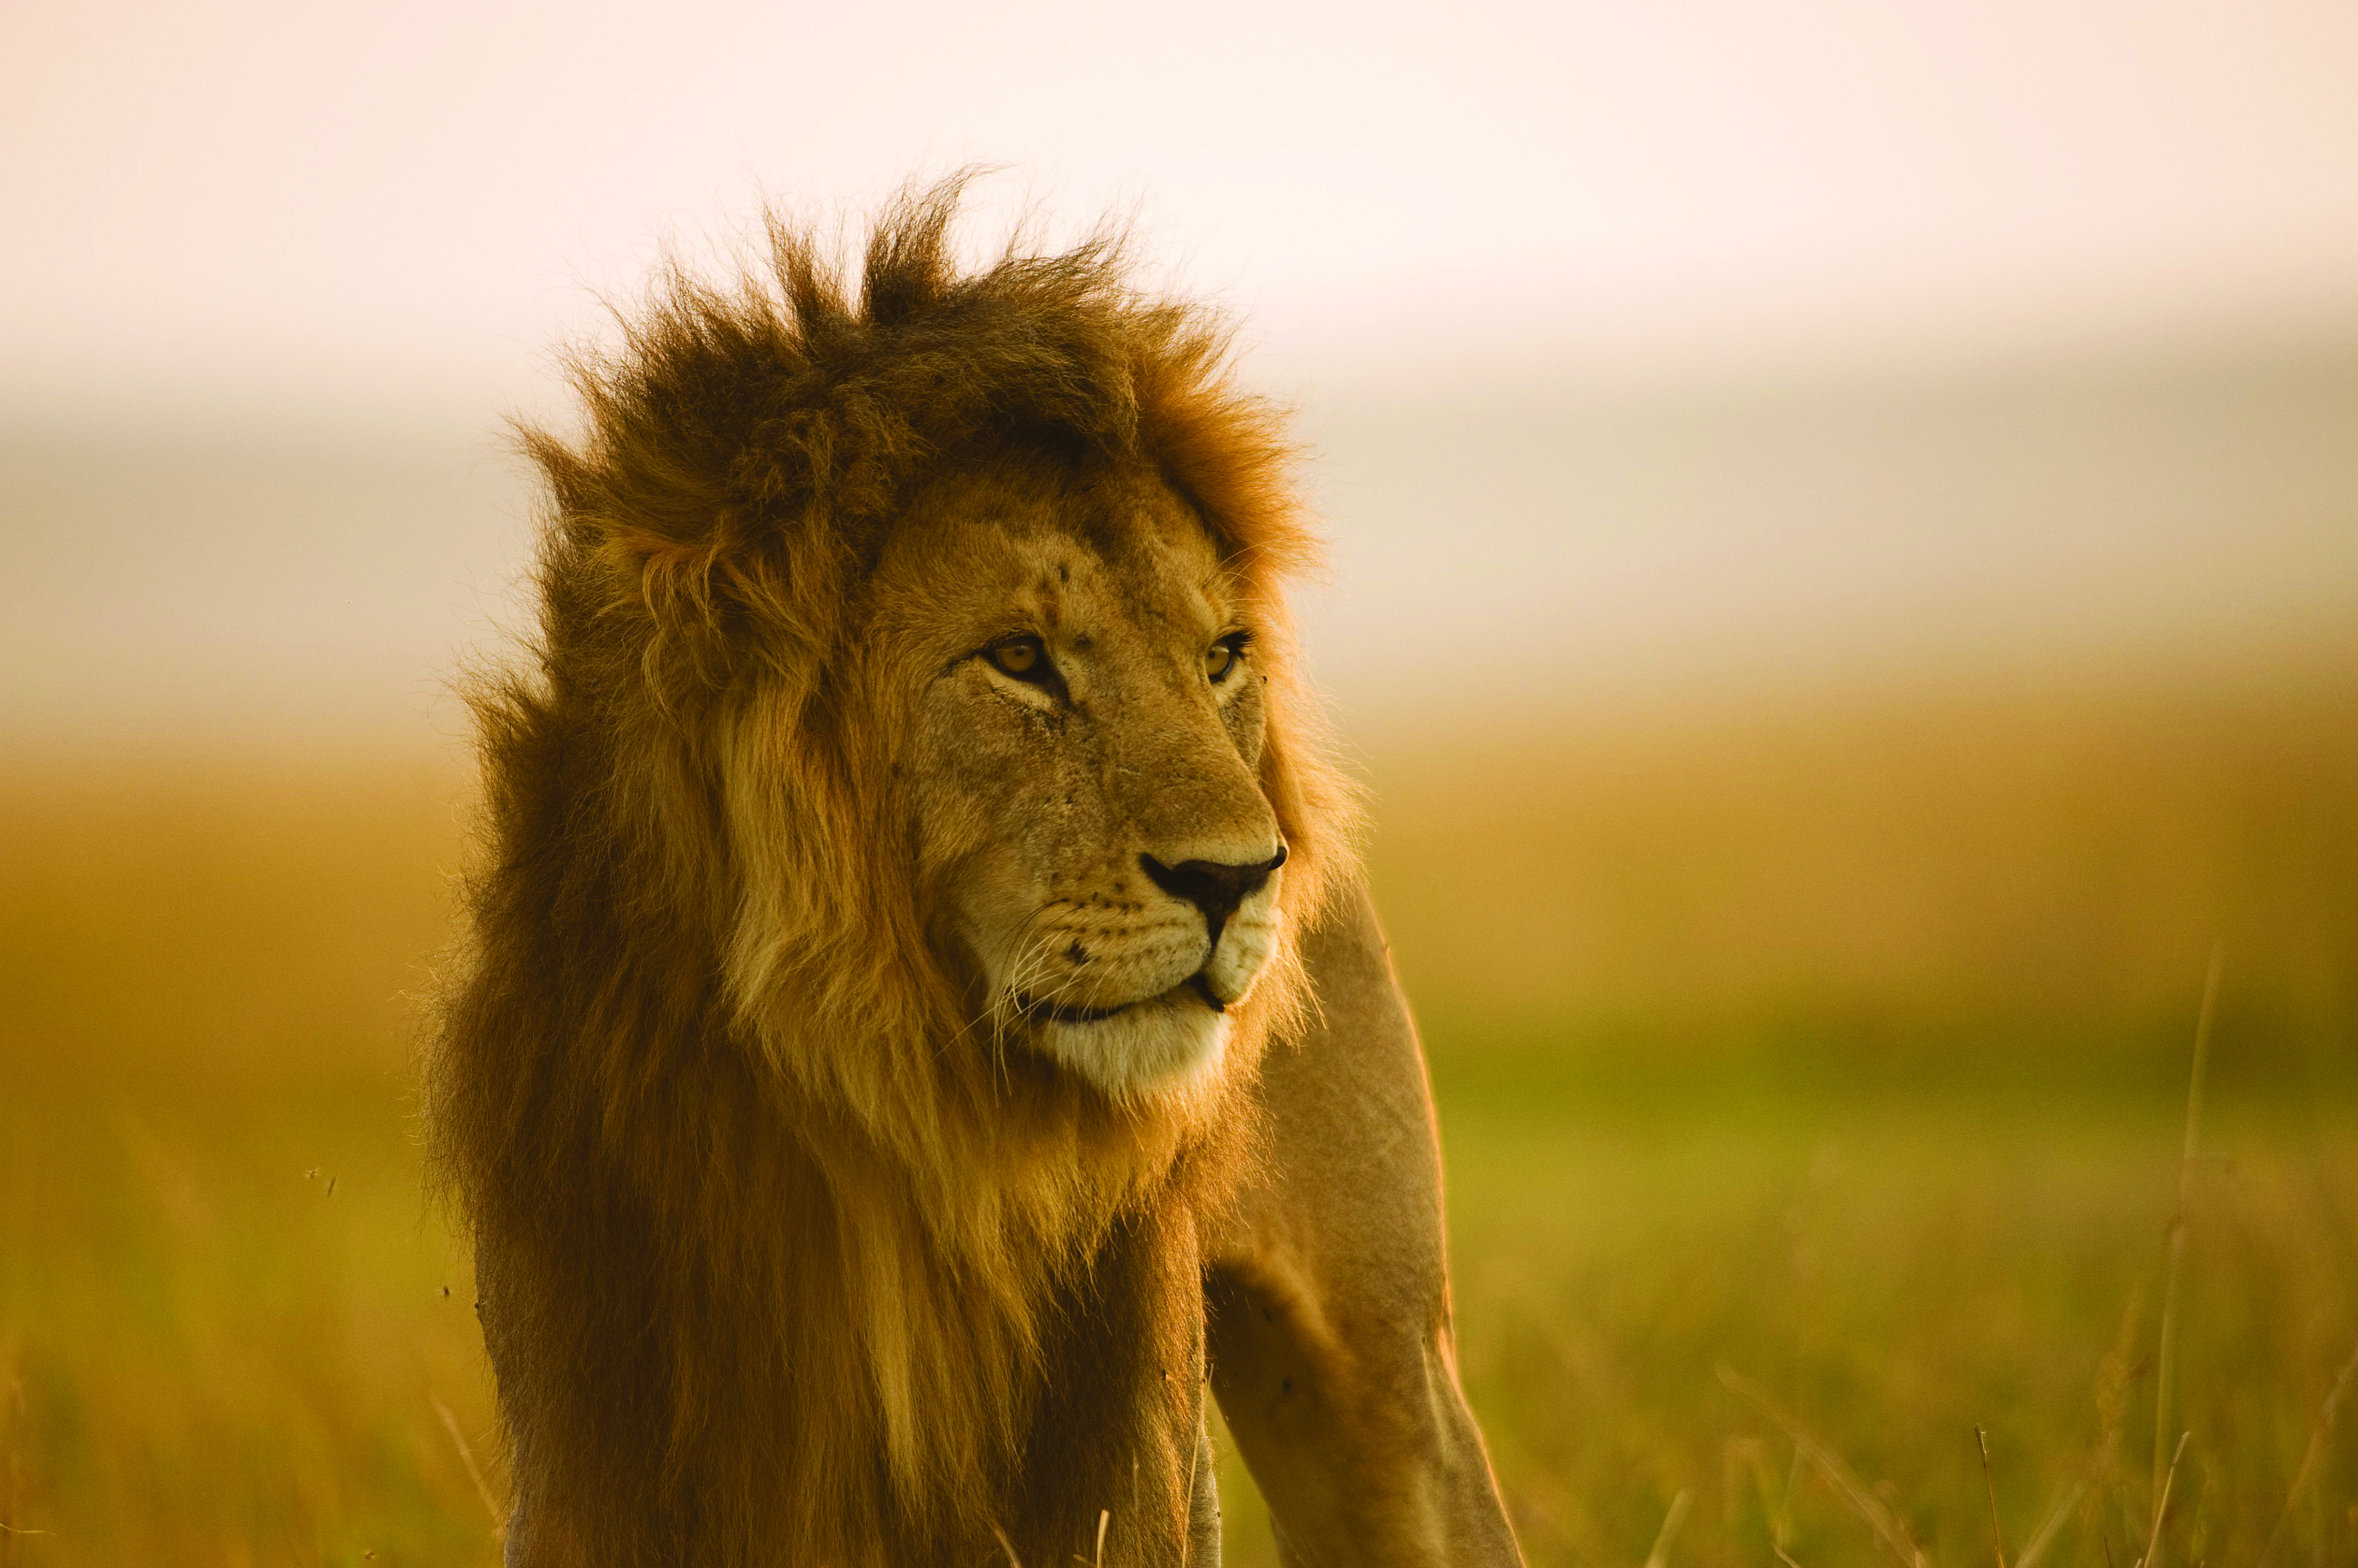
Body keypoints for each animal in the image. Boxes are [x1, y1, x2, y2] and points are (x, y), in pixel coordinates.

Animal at [429, 180, 1523, 1567]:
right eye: (1018, 658)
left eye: (1221, 654)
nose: (1243, 877)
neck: (887, 1127)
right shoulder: (605, 1440)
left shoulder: (1119, 1470)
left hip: (1384, 1373)